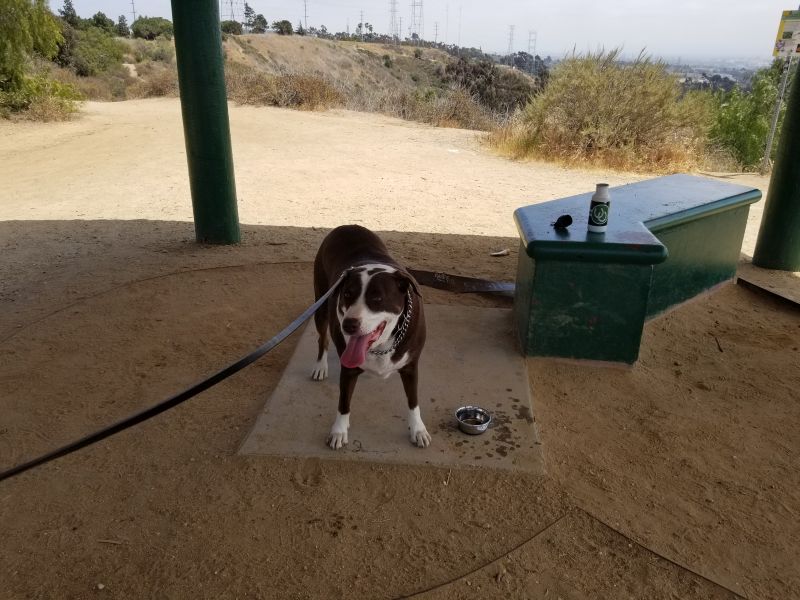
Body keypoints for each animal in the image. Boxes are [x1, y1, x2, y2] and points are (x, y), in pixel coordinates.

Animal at [311, 225, 431, 450]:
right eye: (347, 294)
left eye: (377, 298)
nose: (348, 325)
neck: (382, 345)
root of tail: (347, 226)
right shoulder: (348, 368)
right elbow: (344, 402)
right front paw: (339, 431)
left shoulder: (411, 366)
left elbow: (413, 401)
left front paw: (418, 429)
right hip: (320, 305)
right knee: (322, 339)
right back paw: (320, 367)